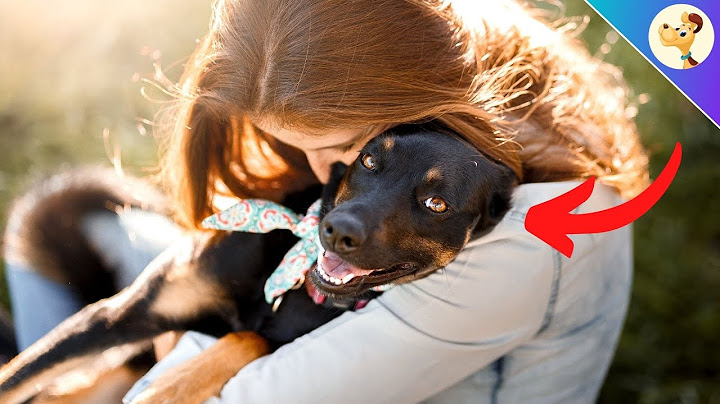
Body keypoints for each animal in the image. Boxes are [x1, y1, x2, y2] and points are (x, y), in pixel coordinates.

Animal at [0, 124, 516, 402]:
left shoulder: (288, 343)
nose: (336, 230)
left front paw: (172, 385)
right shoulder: (118, 316)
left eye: (436, 203)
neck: (291, 276)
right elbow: (15, 377)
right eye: (369, 161)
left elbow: (249, 338)